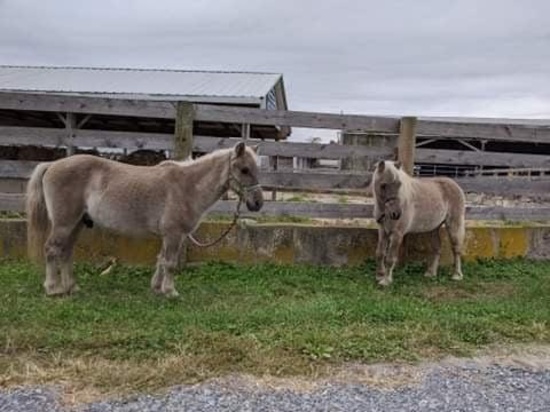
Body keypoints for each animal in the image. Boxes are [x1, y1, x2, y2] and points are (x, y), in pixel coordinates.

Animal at [26, 142, 266, 296]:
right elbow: (169, 262)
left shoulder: (171, 236)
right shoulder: (173, 234)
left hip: (76, 224)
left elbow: (161, 259)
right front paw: (170, 291)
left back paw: (71, 287)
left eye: (257, 169)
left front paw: (157, 288)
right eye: (244, 169)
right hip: (64, 223)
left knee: (66, 251)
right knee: (52, 249)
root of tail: (52, 164)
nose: (257, 203)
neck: (186, 186)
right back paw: (53, 289)